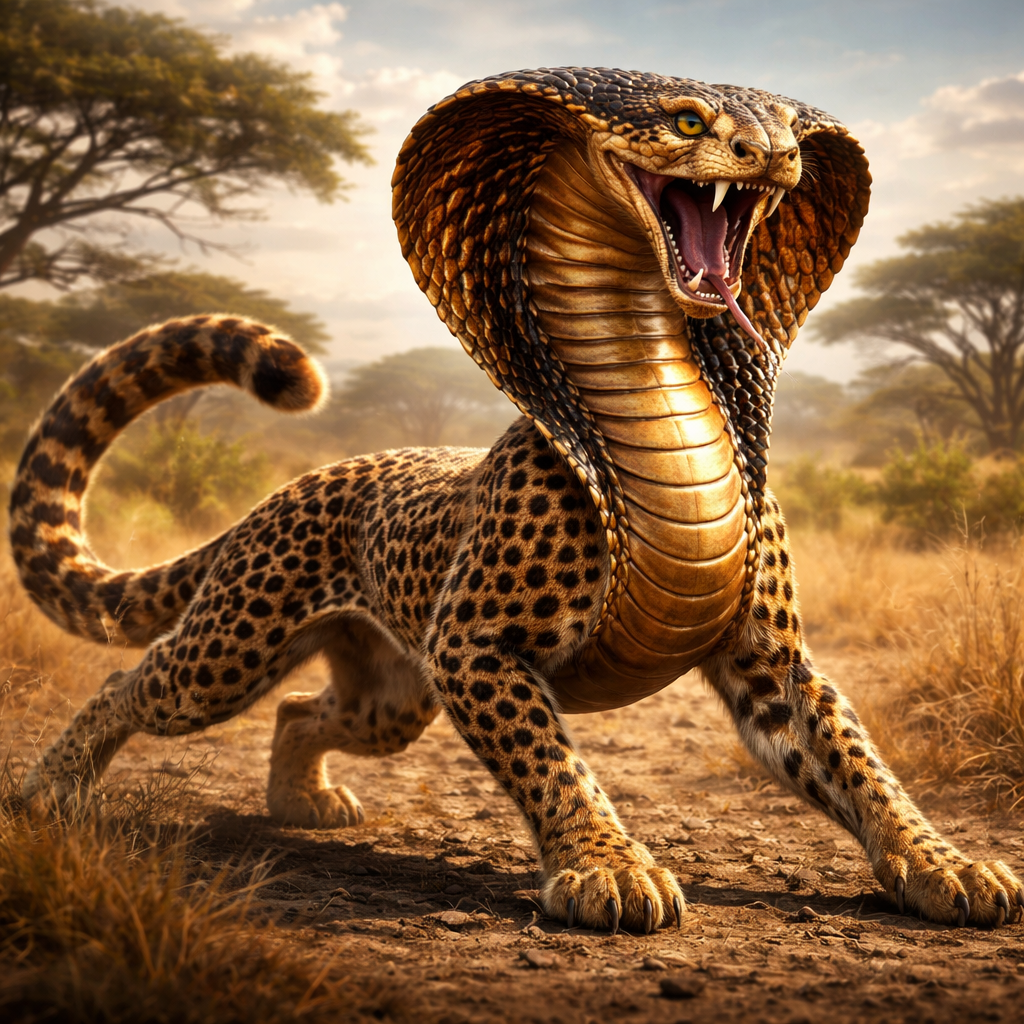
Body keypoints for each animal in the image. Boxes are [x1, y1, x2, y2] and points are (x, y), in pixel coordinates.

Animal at [10, 67, 1022, 934]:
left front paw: (946, 863)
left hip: (391, 693)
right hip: (235, 645)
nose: (772, 154)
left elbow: (858, 759)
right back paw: (45, 794)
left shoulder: (770, 660)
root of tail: (298, 481)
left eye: (783, 125)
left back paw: (304, 801)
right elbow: (552, 760)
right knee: (135, 682)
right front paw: (609, 868)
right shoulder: (473, 645)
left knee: (302, 710)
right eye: (688, 120)